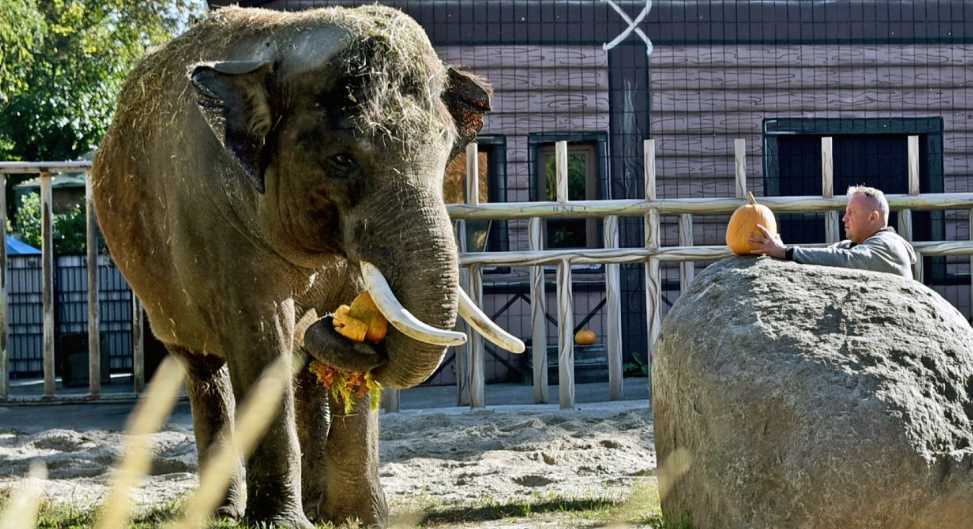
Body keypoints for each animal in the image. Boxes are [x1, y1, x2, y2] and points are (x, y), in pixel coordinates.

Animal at [92, 5, 524, 528]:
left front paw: (360, 520)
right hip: (159, 291)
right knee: (205, 372)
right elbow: (261, 339)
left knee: (302, 373)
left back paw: (316, 508)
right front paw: (280, 523)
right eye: (341, 160)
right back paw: (224, 512)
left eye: (445, 156)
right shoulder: (218, 222)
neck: (283, 44)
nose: (327, 323)